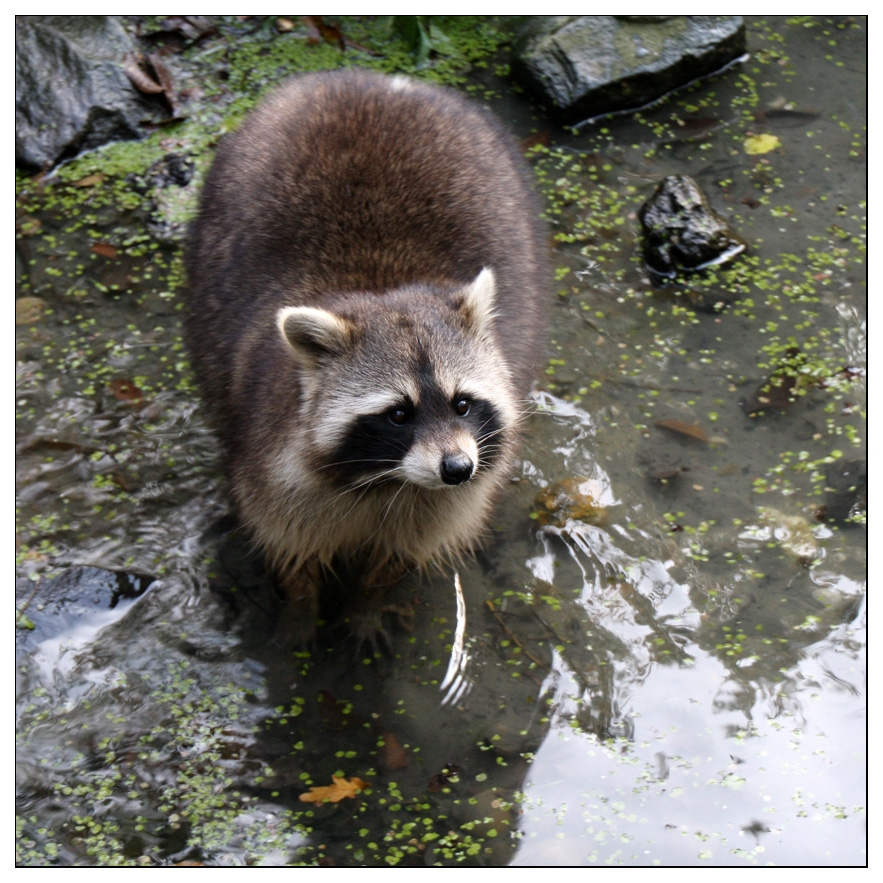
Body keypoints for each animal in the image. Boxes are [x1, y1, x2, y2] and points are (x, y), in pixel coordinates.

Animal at [184, 65, 548, 640]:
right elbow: (290, 548)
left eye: (463, 403)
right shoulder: (271, 470)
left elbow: (401, 554)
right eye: (399, 414)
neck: (387, 482)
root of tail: (374, 79)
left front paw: (367, 604)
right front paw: (299, 617)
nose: (456, 468)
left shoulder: (451, 498)